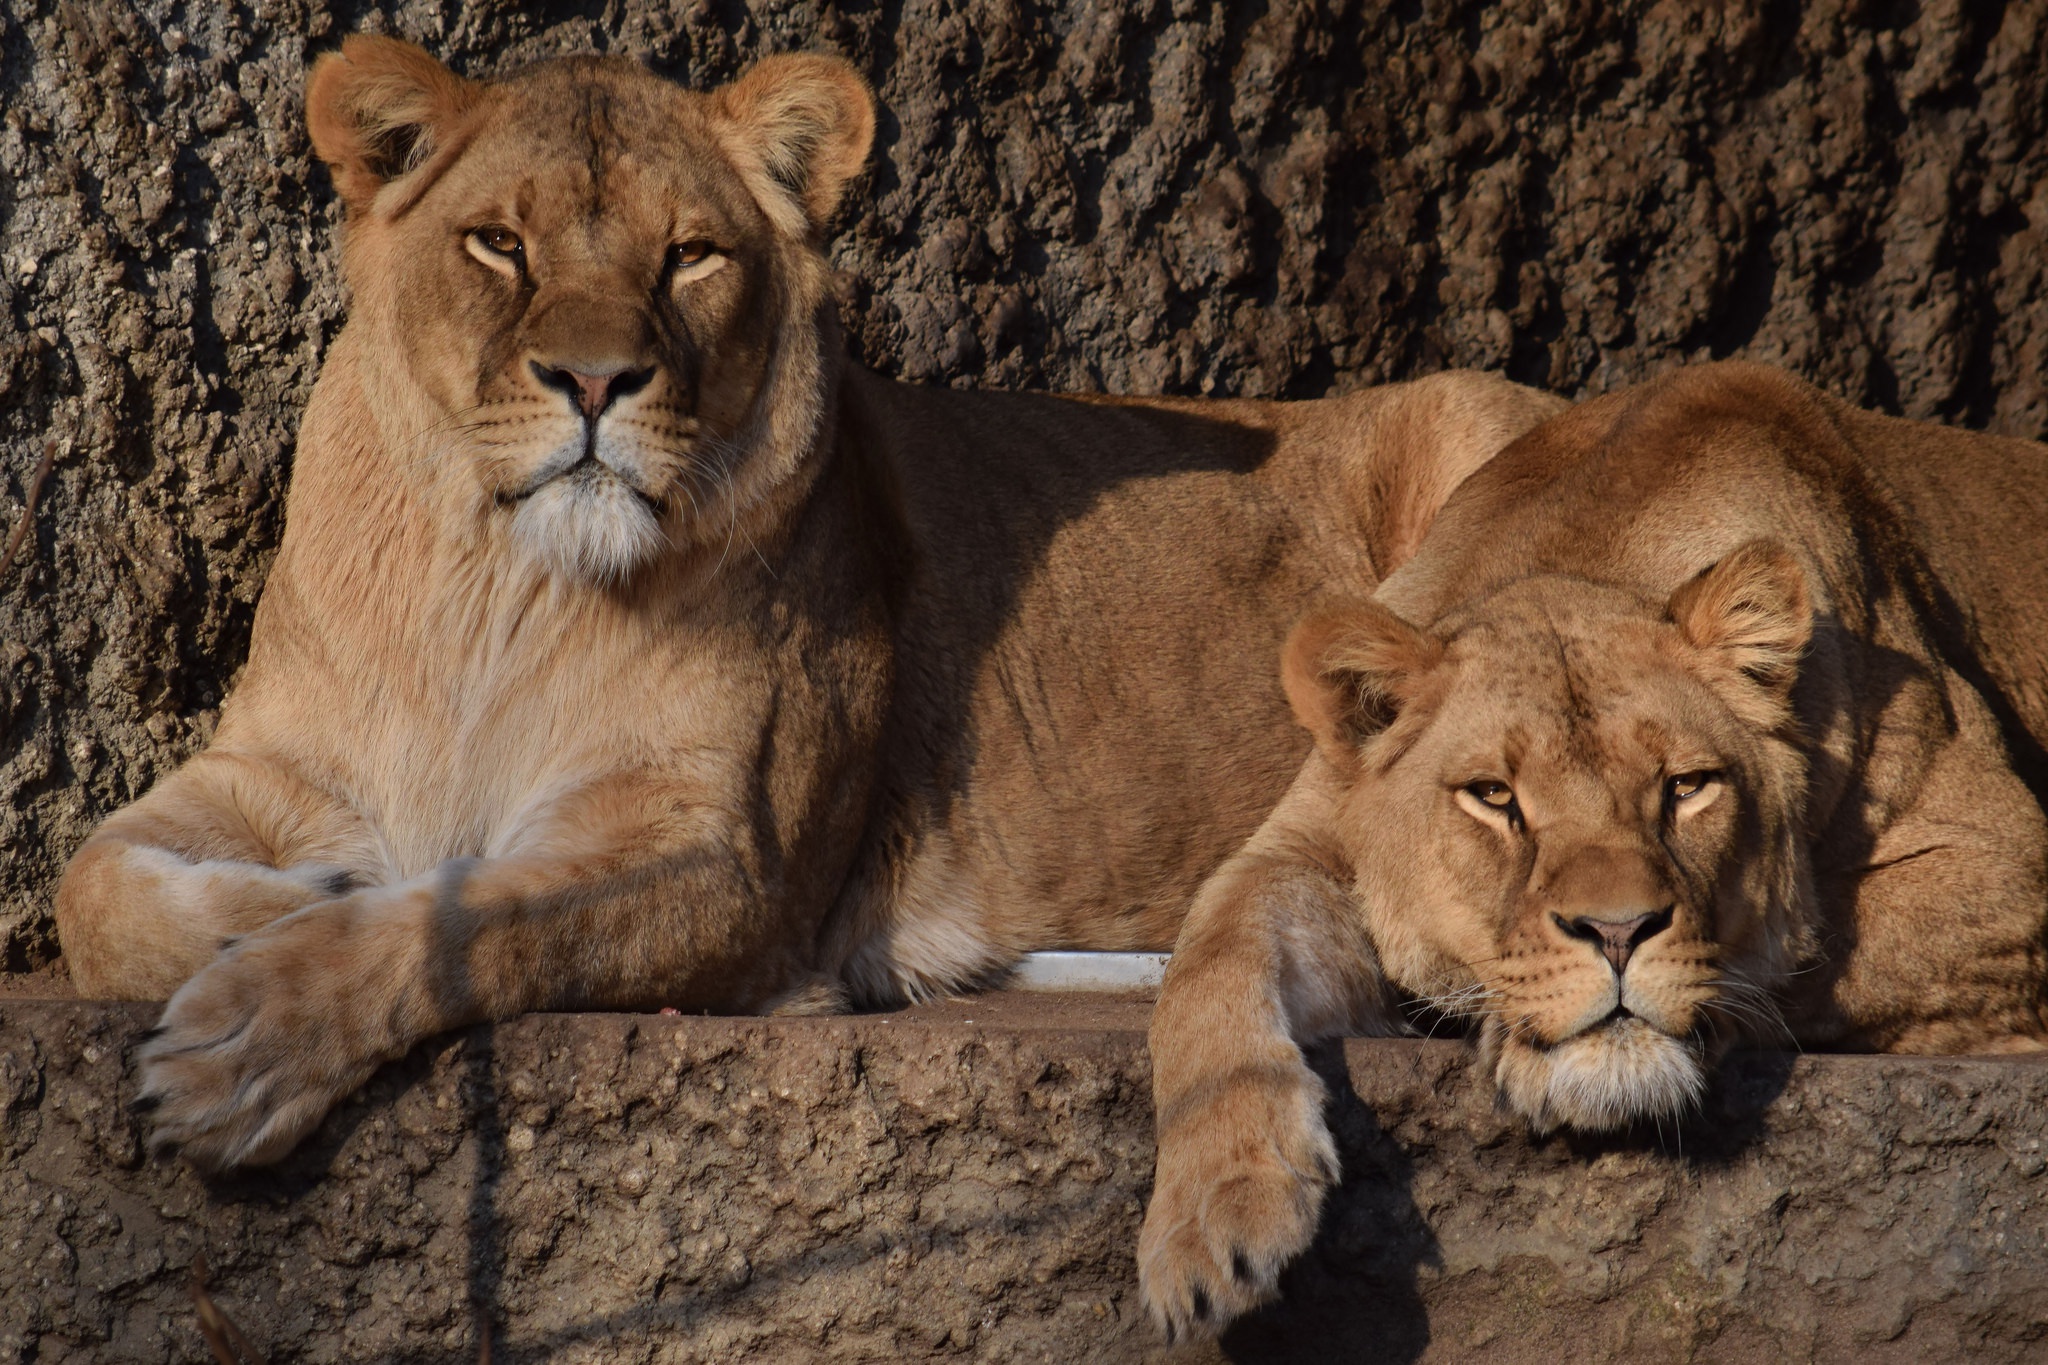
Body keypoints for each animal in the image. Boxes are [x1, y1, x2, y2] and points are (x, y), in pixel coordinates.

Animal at [48, 37, 1556, 1170]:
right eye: (498, 246)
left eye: (688, 258)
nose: (593, 383)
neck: (499, 589)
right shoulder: (280, 765)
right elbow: (89, 885)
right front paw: (274, 902)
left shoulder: (729, 859)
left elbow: (465, 918)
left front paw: (246, 1036)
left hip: (1476, 441)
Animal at [1146, 360, 2048, 1334]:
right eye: (1495, 797)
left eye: (1686, 787)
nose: (1618, 933)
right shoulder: (1300, 847)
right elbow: (1208, 962)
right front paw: (1215, 1208)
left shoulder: (2007, 867)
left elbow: (1805, 952)